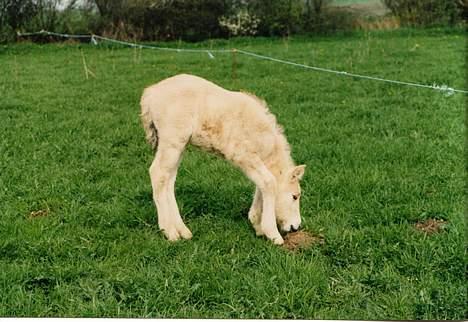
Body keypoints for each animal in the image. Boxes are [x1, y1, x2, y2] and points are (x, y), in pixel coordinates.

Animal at [141, 73, 306, 244]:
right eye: (295, 196)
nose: (296, 227)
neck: (261, 136)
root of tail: (150, 93)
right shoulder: (243, 155)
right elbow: (268, 182)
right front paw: (273, 234)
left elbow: (263, 183)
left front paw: (257, 225)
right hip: (172, 140)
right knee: (158, 173)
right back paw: (170, 232)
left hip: (179, 144)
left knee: (169, 179)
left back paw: (182, 231)